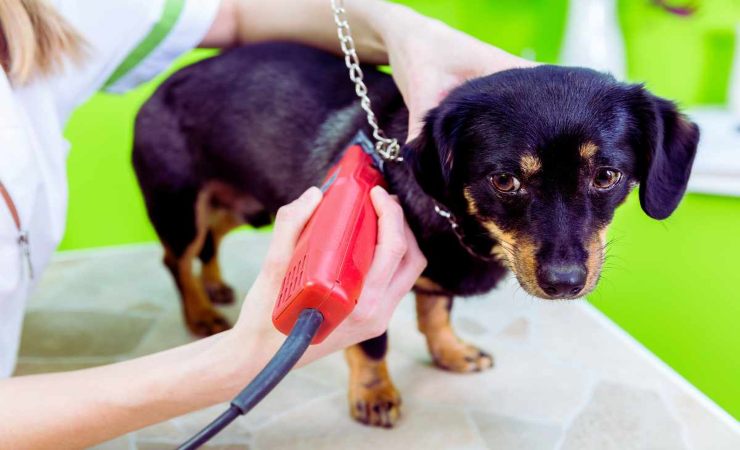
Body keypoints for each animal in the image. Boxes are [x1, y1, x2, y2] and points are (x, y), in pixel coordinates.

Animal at [133, 42, 700, 428]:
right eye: (504, 180)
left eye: (606, 176)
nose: (564, 283)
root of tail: (158, 88)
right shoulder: (365, 279)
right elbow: (372, 343)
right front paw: (374, 393)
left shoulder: (436, 282)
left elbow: (436, 310)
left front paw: (451, 352)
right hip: (181, 206)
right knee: (177, 257)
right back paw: (200, 311)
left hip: (242, 205)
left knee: (212, 239)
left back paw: (214, 285)